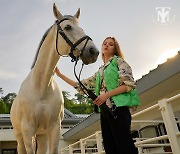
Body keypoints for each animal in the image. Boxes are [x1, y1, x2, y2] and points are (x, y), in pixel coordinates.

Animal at [10, 3, 98, 154]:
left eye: (81, 29)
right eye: (68, 27)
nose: (93, 51)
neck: (41, 87)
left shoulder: (54, 129)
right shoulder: (28, 130)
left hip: (41, 136)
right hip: (20, 136)